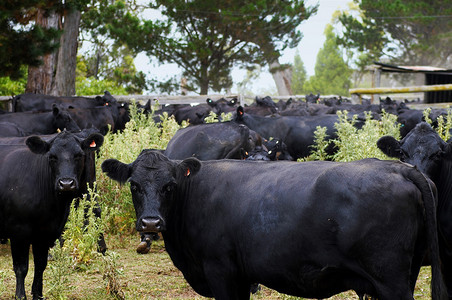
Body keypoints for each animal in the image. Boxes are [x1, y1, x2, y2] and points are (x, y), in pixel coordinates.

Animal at [0, 131, 103, 300]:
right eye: (52, 156)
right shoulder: (18, 231)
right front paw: (20, 295)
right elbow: (21, 267)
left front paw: (38, 294)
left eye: (79, 155)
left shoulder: (45, 233)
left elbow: (40, 265)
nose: (66, 183)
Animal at [101, 152, 444, 300]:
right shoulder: (241, 277)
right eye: (134, 185)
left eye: (170, 186)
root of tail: (400, 167)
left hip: (390, 280)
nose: (151, 222)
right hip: (406, 272)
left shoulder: (220, 270)